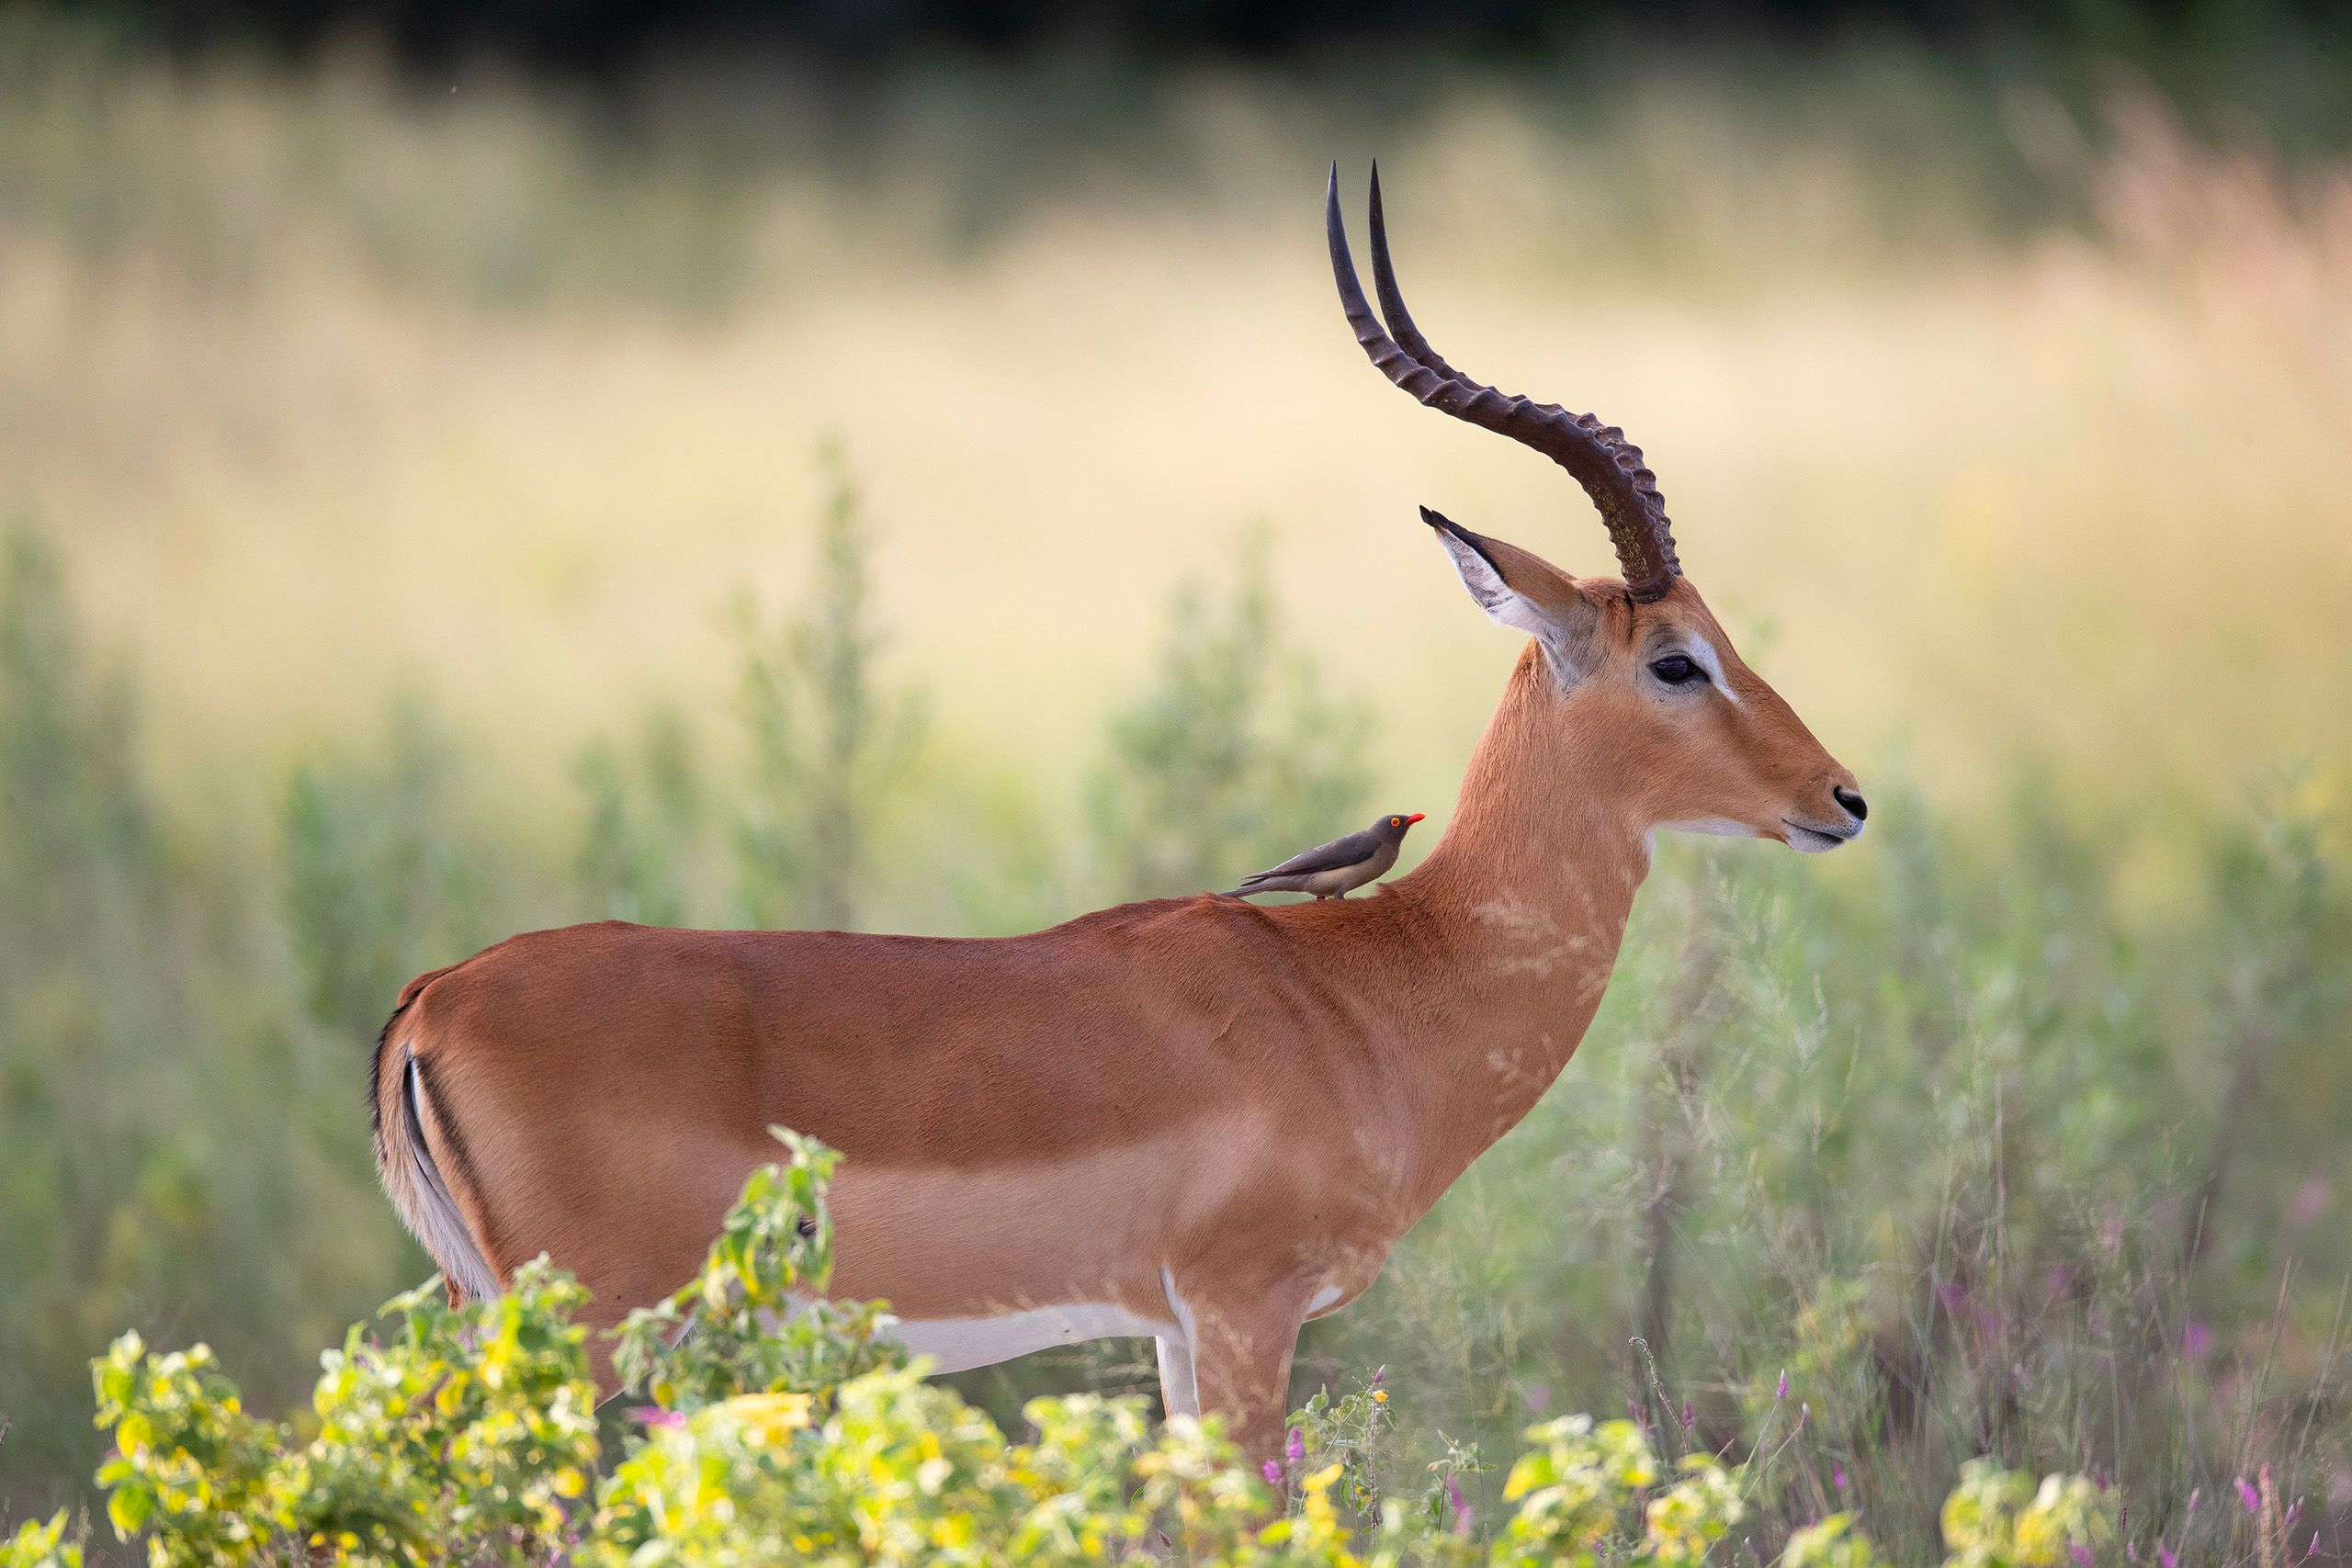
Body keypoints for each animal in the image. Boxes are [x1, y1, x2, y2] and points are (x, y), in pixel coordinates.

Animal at [370, 166, 1866, 1466]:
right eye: (1677, 658)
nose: (1841, 798)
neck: (1379, 993)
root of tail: (431, 1000)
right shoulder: (1246, 1307)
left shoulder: (1170, 1334)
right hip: (598, 1339)